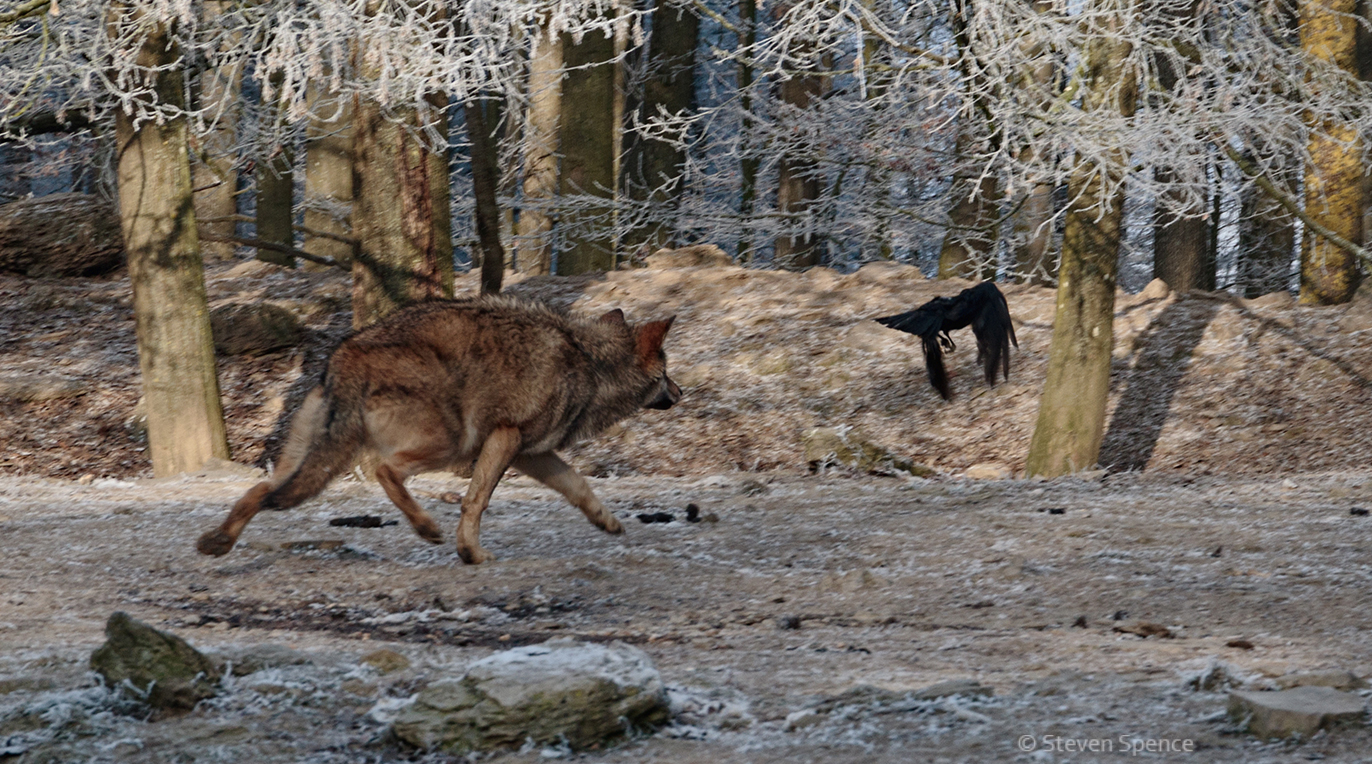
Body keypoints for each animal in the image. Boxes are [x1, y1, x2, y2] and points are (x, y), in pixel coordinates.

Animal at [196, 295, 680, 564]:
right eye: (666, 373)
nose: (681, 392)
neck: (590, 363)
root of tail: (346, 355)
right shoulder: (506, 438)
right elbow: (476, 502)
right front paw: (471, 554)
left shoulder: (531, 452)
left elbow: (579, 486)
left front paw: (608, 523)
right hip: (450, 443)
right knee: (385, 473)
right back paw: (427, 528)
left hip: (303, 463)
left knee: (259, 491)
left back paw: (217, 542)